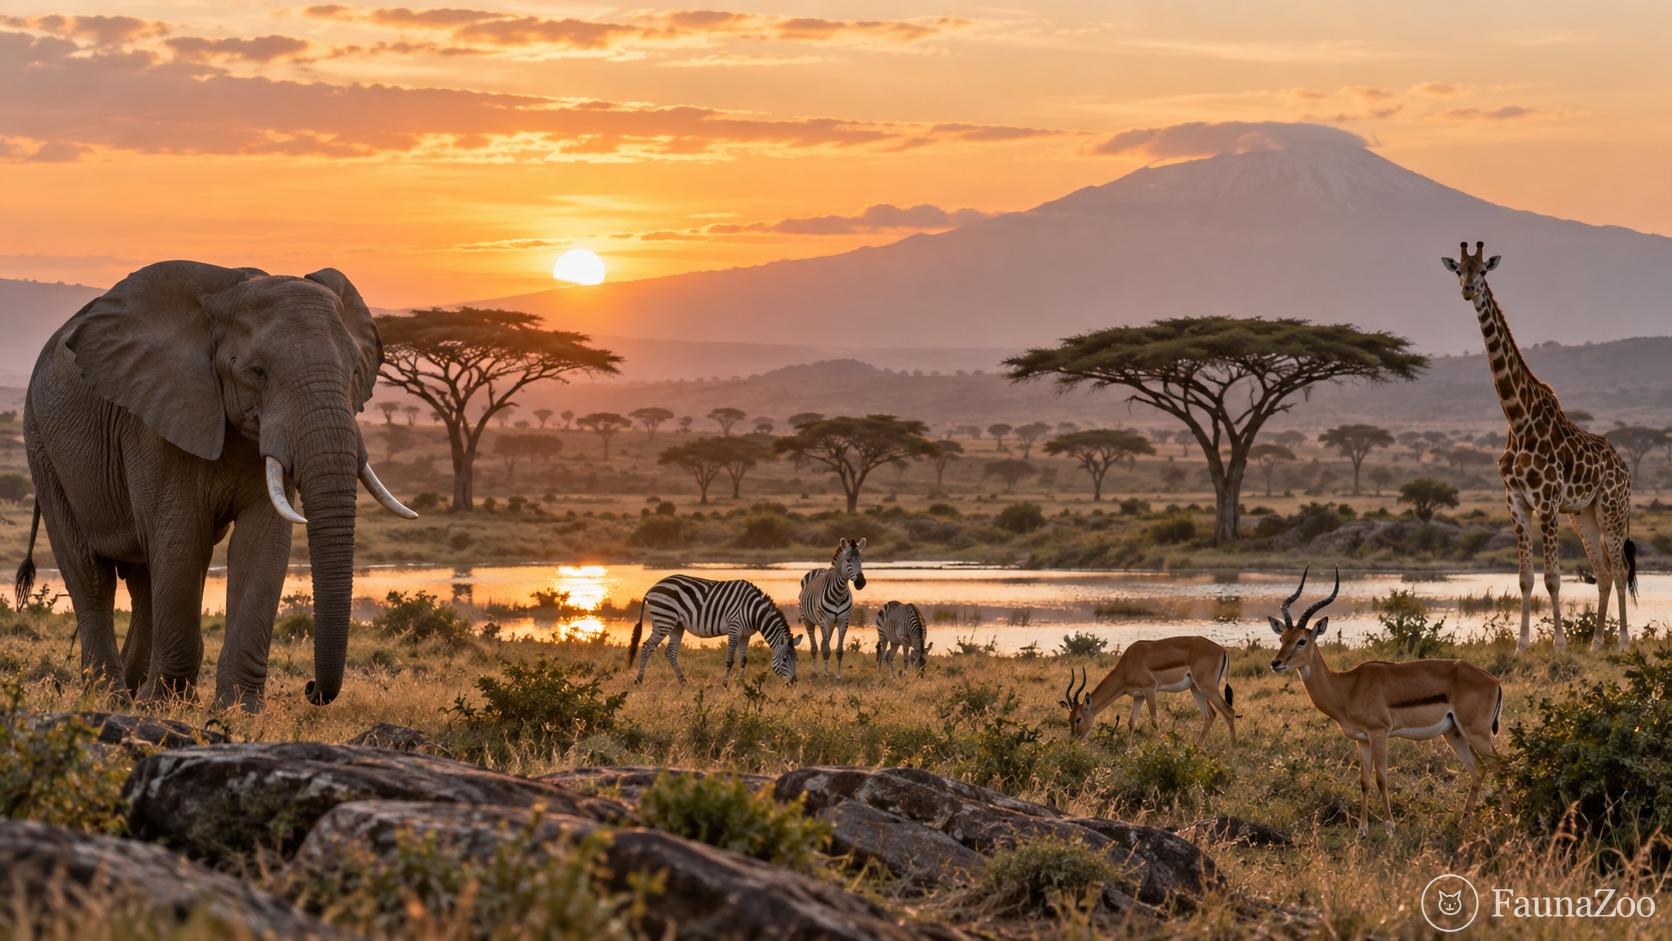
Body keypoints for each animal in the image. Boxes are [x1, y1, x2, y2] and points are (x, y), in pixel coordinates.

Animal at [14, 260, 416, 712]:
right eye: (257, 372)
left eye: (354, 371)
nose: (311, 689)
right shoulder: (157, 418)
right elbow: (183, 540)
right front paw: (169, 706)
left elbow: (262, 543)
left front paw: (239, 710)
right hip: (42, 445)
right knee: (91, 574)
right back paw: (112, 700)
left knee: (143, 578)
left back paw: (134, 694)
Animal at [1442, 242, 1637, 653]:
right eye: (1459, 271)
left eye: (1483, 271)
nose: (1467, 291)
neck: (1518, 418)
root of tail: (1626, 468)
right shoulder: (1516, 502)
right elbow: (1525, 579)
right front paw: (1521, 647)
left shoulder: (1546, 502)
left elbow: (1552, 577)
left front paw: (1558, 645)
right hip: (1583, 513)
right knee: (1603, 570)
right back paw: (1596, 644)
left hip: (1612, 508)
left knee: (1621, 567)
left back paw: (1623, 643)